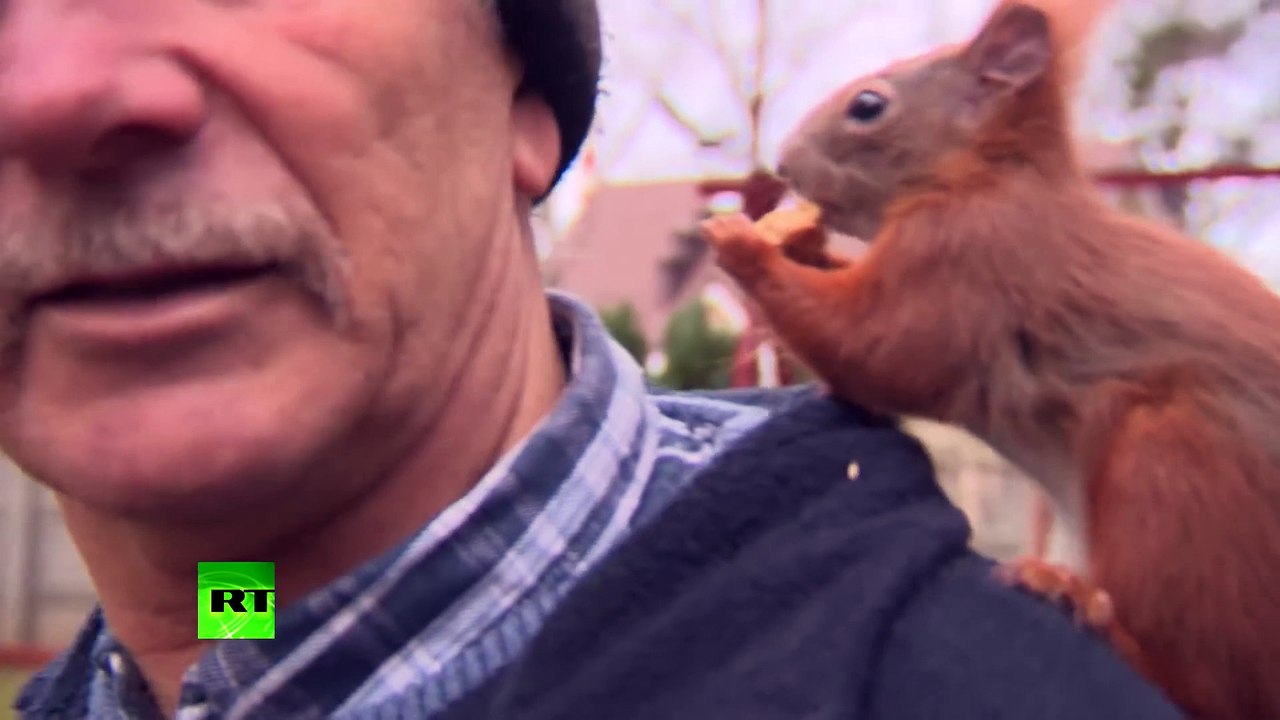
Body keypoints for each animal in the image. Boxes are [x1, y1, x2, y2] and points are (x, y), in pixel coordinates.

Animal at [699, 1, 1280, 718]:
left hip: (1178, 475)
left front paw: (746, 247)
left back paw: (1075, 599)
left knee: (1214, 685)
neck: (986, 176)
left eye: (868, 105)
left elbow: (876, 348)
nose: (783, 166)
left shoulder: (968, 260)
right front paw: (800, 242)